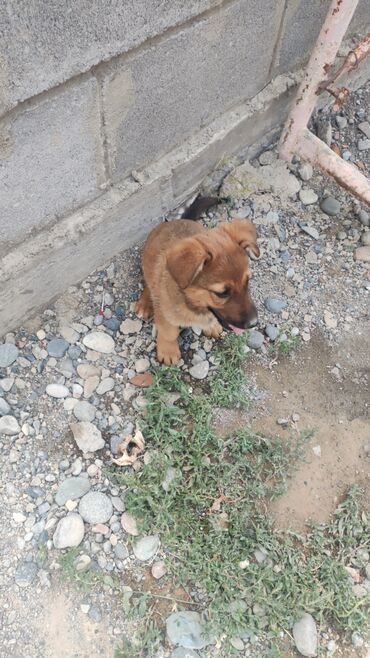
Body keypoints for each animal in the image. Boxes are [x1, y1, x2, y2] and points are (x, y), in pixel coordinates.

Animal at [136, 219, 260, 364]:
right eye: (222, 293)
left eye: (247, 281)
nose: (254, 323)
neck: (191, 301)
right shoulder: (165, 314)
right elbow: (169, 333)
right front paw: (168, 351)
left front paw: (211, 326)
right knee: (148, 283)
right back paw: (145, 304)